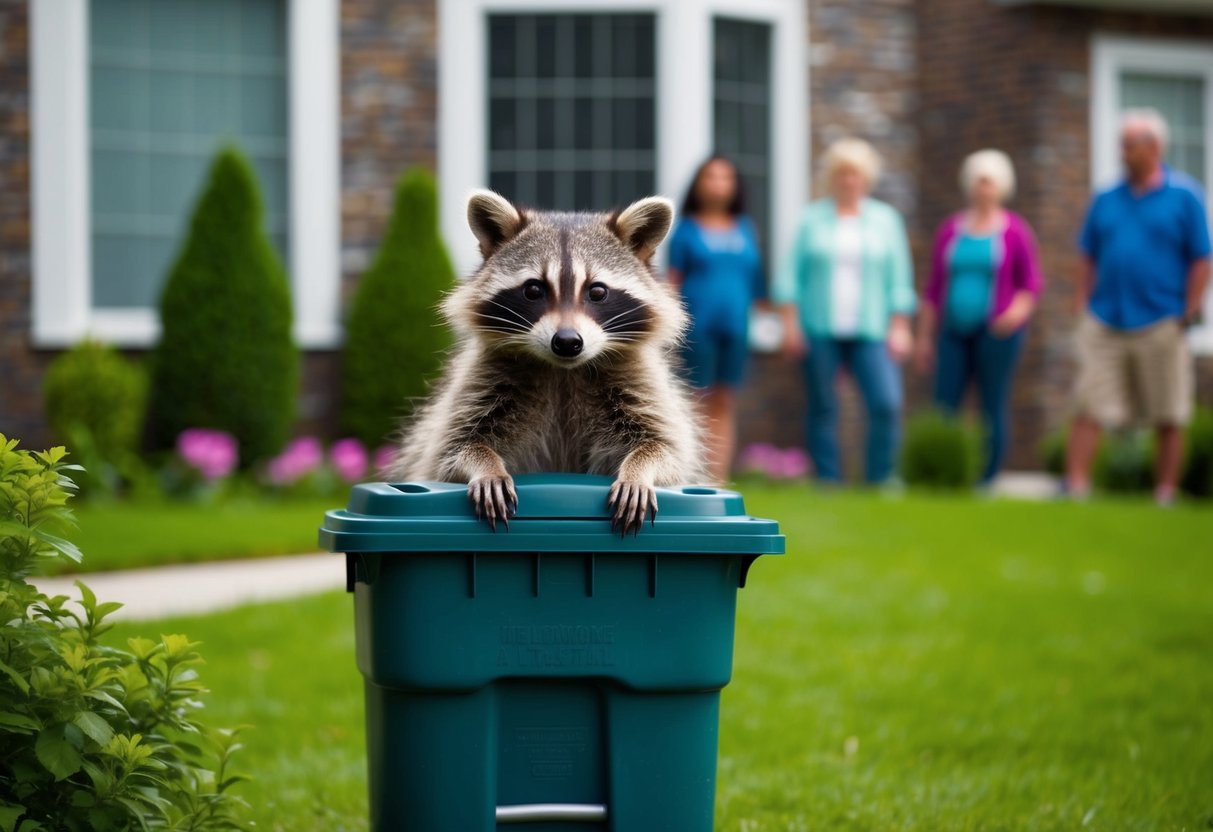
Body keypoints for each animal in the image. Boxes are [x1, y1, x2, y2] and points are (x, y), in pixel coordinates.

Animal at [386, 190, 706, 534]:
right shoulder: (479, 383)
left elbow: (667, 451)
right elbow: (450, 451)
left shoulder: (641, 384)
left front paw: (640, 470)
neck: (563, 371)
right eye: (533, 289)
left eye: (597, 291)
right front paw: (484, 465)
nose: (567, 342)